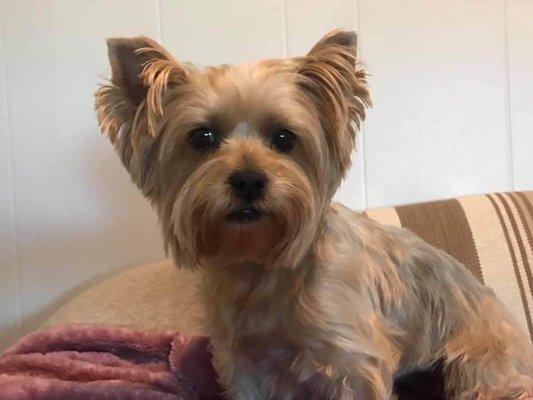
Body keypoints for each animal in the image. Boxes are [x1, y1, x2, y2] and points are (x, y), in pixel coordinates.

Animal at [96, 29, 532, 398]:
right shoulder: (244, 365)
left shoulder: (351, 362)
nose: (249, 180)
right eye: (202, 137)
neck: (260, 265)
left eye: (284, 138)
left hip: (479, 368)